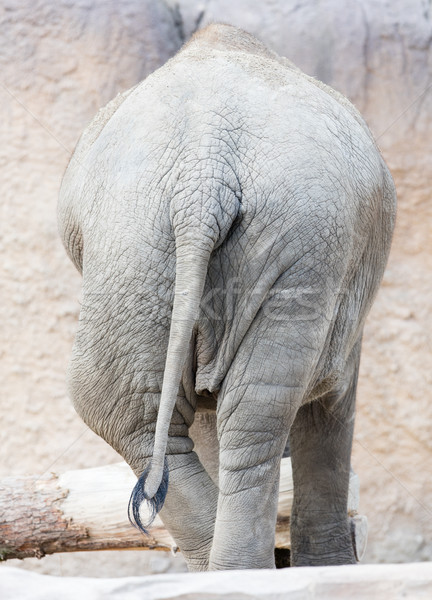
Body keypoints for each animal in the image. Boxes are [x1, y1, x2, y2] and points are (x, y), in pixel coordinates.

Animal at [59, 24, 396, 572]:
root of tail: (202, 173)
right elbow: (332, 401)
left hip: (133, 242)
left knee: (127, 408)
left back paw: (224, 570)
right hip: (288, 241)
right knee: (252, 409)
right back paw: (241, 571)